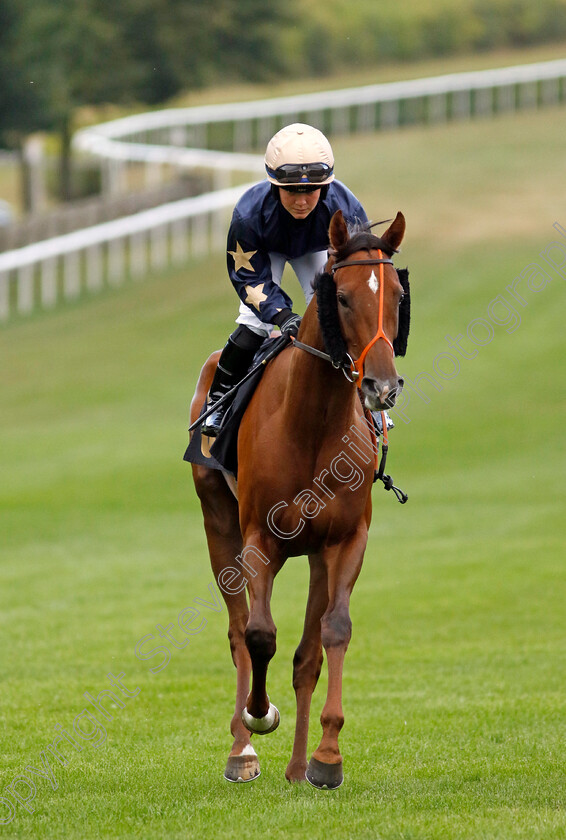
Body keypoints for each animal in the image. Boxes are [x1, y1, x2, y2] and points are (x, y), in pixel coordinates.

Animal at [190, 210, 408, 788]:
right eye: (345, 298)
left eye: (398, 295)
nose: (382, 387)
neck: (312, 423)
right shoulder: (258, 538)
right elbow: (259, 634)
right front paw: (258, 715)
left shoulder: (346, 539)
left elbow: (331, 635)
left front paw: (326, 758)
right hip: (218, 523)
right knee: (237, 631)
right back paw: (242, 750)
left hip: (313, 554)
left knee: (306, 655)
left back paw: (294, 767)